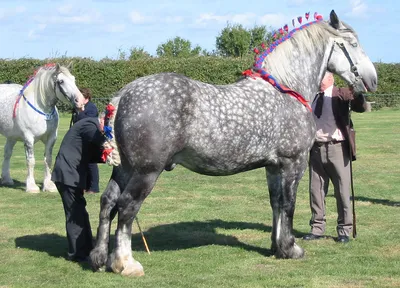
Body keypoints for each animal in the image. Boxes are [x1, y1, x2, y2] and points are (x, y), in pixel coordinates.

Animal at [0, 63, 85, 194]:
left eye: (74, 79)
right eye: (61, 81)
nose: (80, 101)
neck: (41, 111)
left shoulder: (51, 138)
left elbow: (48, 160)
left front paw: (49, 185)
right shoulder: (28, 138)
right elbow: (31, 161)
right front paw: (31, 186)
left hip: (12, 136)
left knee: (7, 153)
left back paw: (7, 179)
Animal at [90, 10, 378, 276]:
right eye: (353, 43)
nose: (372, 79)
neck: (287, 88)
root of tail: (124, 94)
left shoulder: (273, 166)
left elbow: (275, 203)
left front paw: (276, 247)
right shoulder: (293, 163)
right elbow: (289, 204)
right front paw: (291, 248)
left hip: (125, 169)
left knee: (107, 202)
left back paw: (99, 258)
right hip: (146, 172)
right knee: (126, 207)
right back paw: (125, 264)